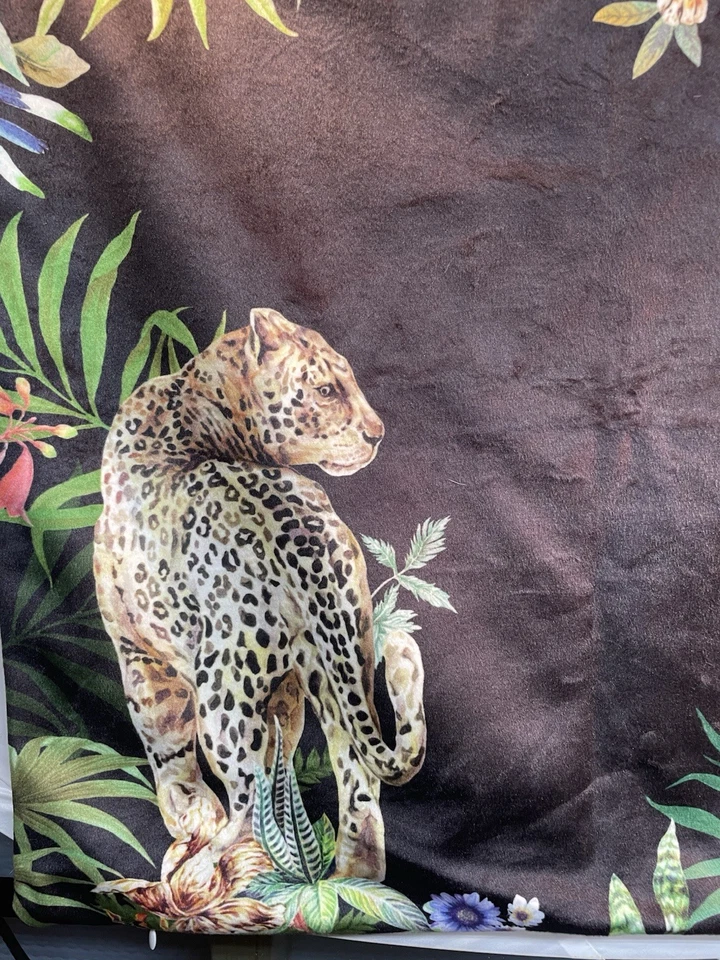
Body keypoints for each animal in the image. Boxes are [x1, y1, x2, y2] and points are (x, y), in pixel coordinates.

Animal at [94, 308, 426, 884]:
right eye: (326, 388)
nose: (376, 433)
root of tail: (296, 532)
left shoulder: (139, 654)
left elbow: (166, 742)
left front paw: (186, 813)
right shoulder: (287, 689)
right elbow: (280, 749)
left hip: (225, 689)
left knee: (251, 794)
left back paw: (206, 865)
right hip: (342, 659)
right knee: (356, 776)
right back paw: (352, 877)